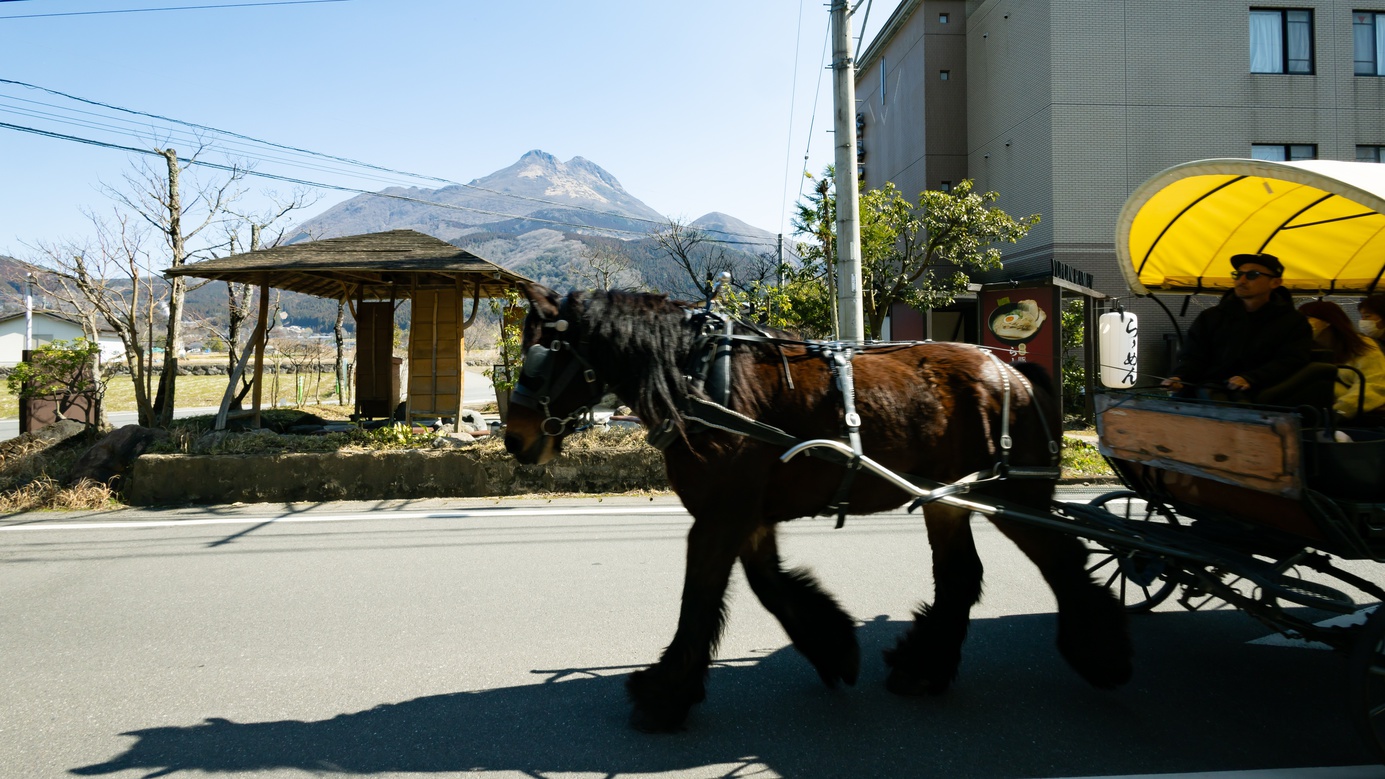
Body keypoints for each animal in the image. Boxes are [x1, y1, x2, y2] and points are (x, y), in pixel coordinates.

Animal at [504, 284, 1130, 726]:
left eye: (540, 356)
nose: (514, 438)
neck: (702, 380)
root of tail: (1013, 368)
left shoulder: (722, 514)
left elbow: (699, 596)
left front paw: (664, 694)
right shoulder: (746, 515)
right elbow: (770, 586)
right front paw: (834, 648)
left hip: (1010, 491)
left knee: (1061, 563)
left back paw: (1099, 651)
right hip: (948, 497)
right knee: (961, 578)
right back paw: (923, 667)